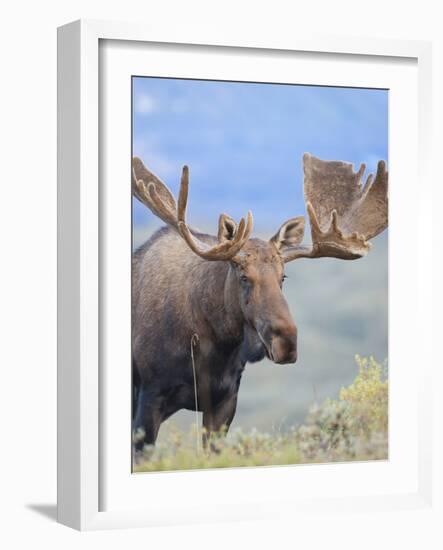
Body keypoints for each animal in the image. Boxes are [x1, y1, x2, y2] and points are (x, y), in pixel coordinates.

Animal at [132, 153, 388, 454]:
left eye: (283, 277)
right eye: (244, 276)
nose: (287, 342)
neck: (212, 346)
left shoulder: (224, 400)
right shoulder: (150, 395)